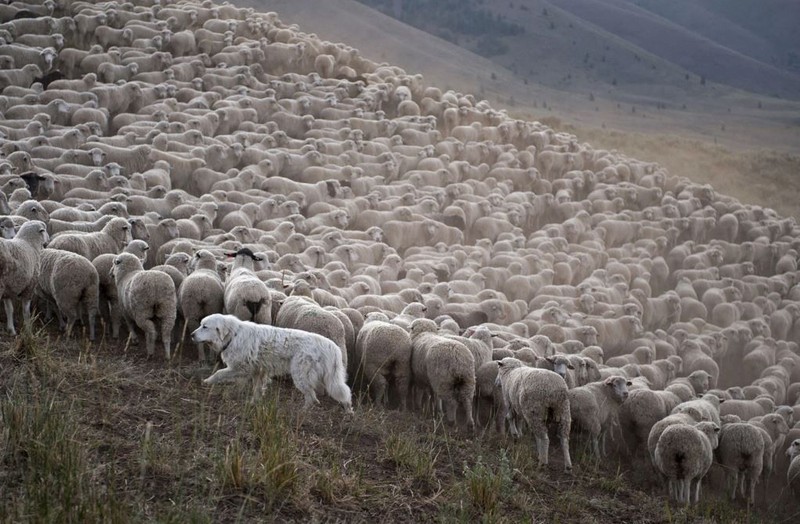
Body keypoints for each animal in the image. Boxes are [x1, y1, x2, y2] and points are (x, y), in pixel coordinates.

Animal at [192, 314, 352, 412]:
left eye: (205, 326)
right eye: (200, 325)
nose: (191, 335)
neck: (233, 335)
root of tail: (331, 345)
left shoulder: (241, 368)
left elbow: (219, 373)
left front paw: (207, 381)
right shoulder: (258, 371)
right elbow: (256, 389)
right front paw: (253, 403)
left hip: (300, 376)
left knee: (312, 398)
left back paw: (300, 413)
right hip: (326, 378)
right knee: (338, 394)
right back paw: (348, 410)